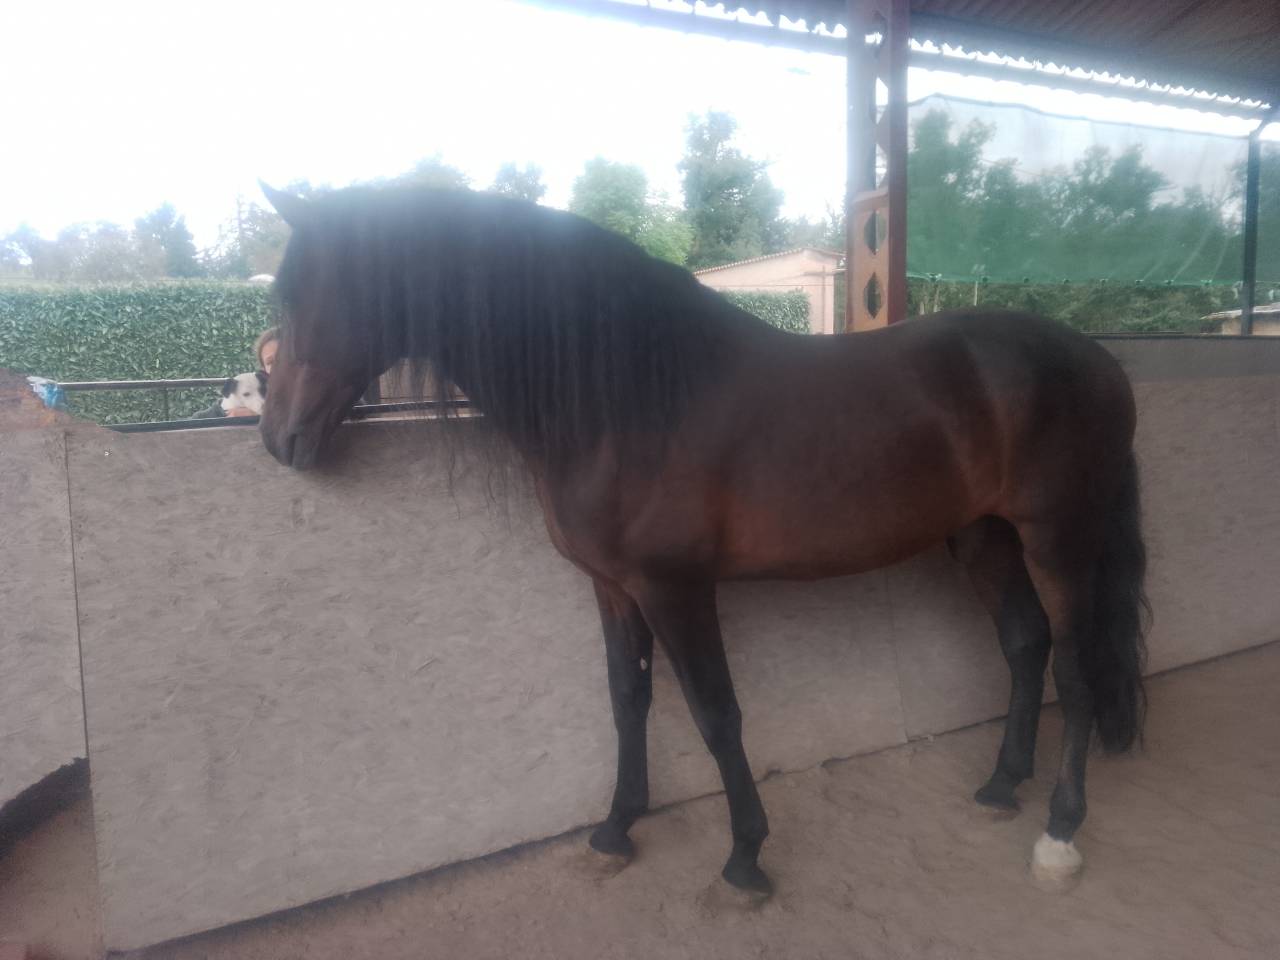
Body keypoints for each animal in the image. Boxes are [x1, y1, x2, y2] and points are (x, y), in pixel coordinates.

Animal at [257, 182, 1147, 896]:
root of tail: (1099, 363)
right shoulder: (613, 586)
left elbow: (716, 713)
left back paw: (1059, 832)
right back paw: (1001, 786)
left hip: (1057, 539)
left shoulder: (676, 588)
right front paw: (616, 829)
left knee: (1074, 669)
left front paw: (746, 856)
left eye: (301, 298)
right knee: (1025, 644)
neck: (628, 399)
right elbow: (628, 700)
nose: (277, 438)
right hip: (982, 537)